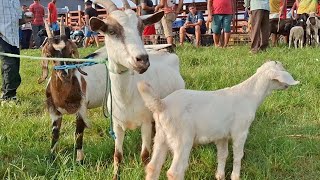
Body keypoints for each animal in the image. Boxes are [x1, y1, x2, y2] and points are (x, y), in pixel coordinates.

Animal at [90, 0, 185, 179]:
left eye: (141, 28)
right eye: (111, 31)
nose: (142, 59)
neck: (126, 99)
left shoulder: (145, 122)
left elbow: (145, 156)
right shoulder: (117, 125)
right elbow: (117, 155)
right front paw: (115, 175)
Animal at [138, 60, 300, 180]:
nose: (287, 85)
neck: (250, 95)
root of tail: (161, 105)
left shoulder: (221, 136)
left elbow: (222, 155)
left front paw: (220, 175)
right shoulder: (240, 131)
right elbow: (238, 156)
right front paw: (235, 176)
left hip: (161, 136)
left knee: (153, 167)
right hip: (182, 139)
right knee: (175, 172)